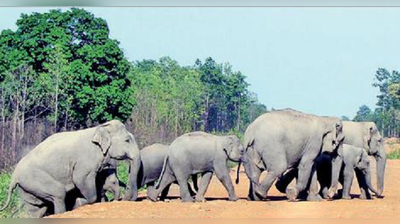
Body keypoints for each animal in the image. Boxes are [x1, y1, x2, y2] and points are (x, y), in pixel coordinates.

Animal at [0, 120, 141, 218]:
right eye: (127, 140)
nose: (127, 198)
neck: (99, 128)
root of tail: (14, 176)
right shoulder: (84, 161)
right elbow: (81, 180)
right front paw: (79, 202)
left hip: (26, 187)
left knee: (37, 207)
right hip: (34, 178)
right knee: (58, 193)